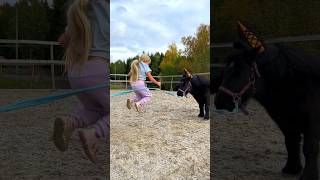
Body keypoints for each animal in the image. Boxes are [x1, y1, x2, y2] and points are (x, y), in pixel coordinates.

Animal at [214, 21, 320, 180]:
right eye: (225, 71)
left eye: (238, 72)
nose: (219, 102)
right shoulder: (285, 121)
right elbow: (291, 141)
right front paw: (292, 169)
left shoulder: (312, 122)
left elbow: (310, 147)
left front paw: (309, 176)